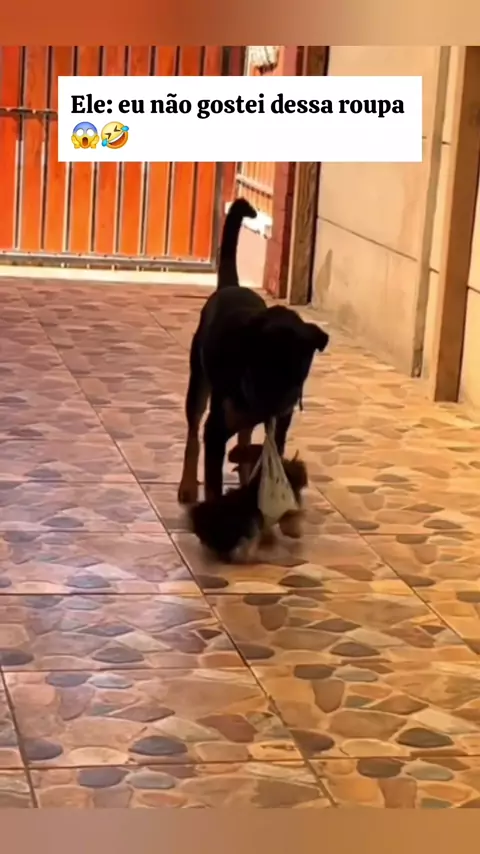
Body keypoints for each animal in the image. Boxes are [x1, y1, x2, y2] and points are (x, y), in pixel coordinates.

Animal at [178, 197, 329, 506]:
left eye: (300, 368)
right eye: (265, 363)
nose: (281, 400)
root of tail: (230, 286)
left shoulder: (280, 424)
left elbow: (264, 451)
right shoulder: (216, 429)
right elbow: (213, 478)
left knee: (245, 437)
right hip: (198, 383)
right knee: (192, 433)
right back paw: (187, 486)